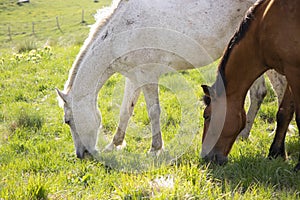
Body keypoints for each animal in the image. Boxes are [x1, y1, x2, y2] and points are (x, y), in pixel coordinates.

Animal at [55, 0, 286, 159]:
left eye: (68, 121)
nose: (81, 155)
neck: (123, 33)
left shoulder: (149, 75)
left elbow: (153, 112)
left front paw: (155, 149)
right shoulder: (134, 77)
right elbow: (125, 112)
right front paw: (114, 145)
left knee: (281, 90)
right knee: (258, 94)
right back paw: (243, 135)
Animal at [202, 0, 300, 170]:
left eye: (207, 116)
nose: (204, 156)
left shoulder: (295, 70)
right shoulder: (289, 70)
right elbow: (284, 111)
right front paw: (276, 153)